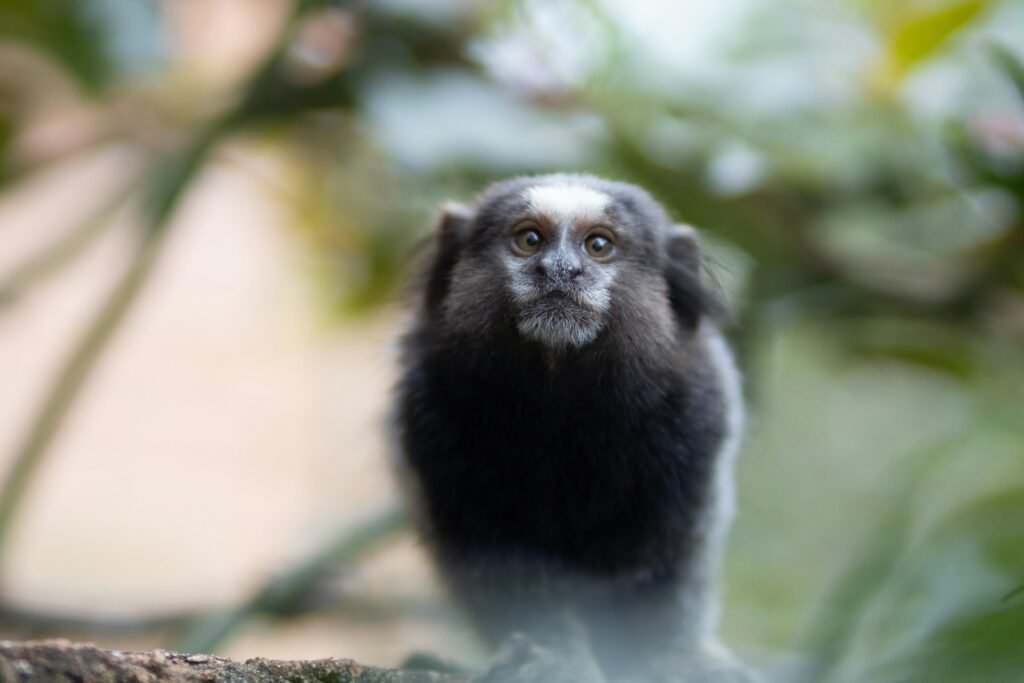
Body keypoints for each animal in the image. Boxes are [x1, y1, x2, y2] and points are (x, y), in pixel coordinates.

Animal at [392, 174, 755, 683]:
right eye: (529, 239)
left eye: (598, 245)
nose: (560, 270)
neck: (562, 408)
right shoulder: (428, 418)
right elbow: (499, 562)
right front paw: (552, 656)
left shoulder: (700, 420)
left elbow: (665, 564)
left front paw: (674, 657)